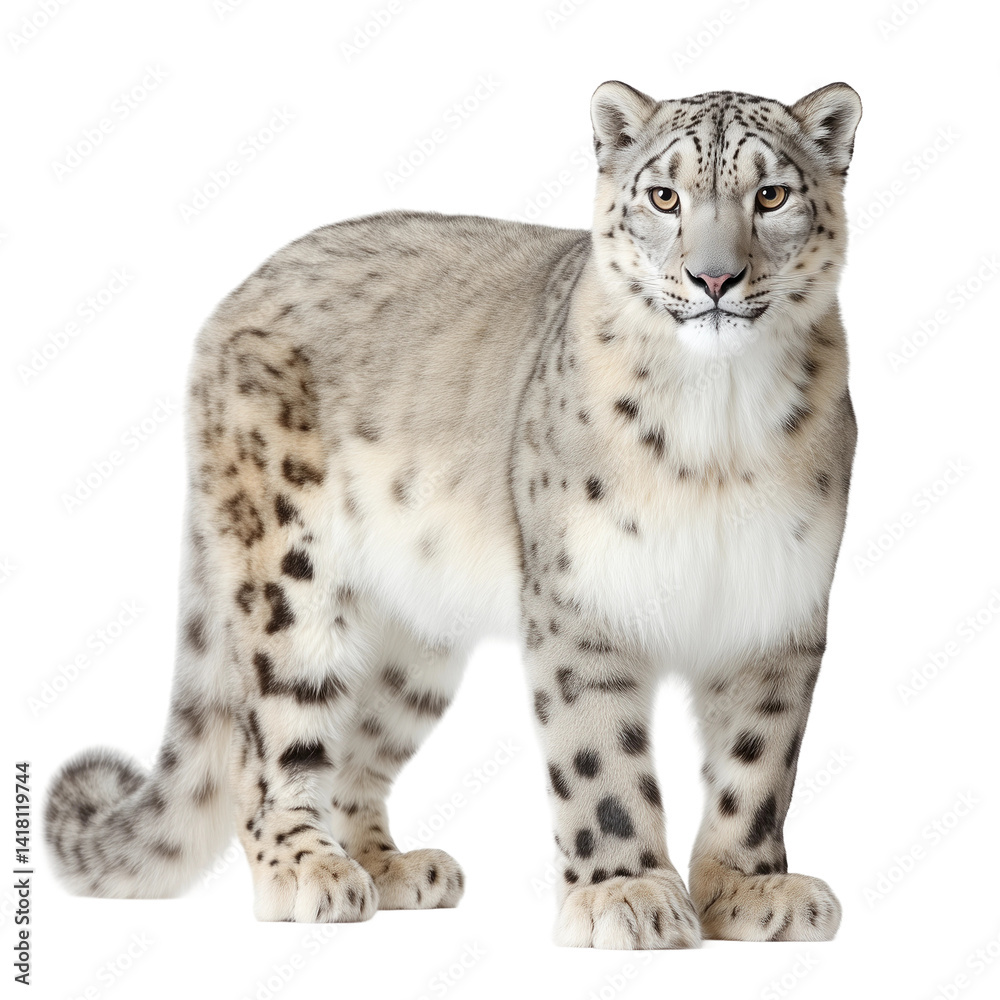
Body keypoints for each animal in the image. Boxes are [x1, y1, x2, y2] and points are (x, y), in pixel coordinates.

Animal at [45, 79, 861, 949]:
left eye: (770, 195)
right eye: (664, 196)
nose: (714, 278)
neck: (720, 423)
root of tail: (231, 298)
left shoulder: (780, 606)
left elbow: (758, 764)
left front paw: (750, 889)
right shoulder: (581, 603)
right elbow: (601, 760)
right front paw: (627, 894)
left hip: (416, 644)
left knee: (355, 748)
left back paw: (392, 867)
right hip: (287, 579)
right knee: (266, 742)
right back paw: (308, 870)